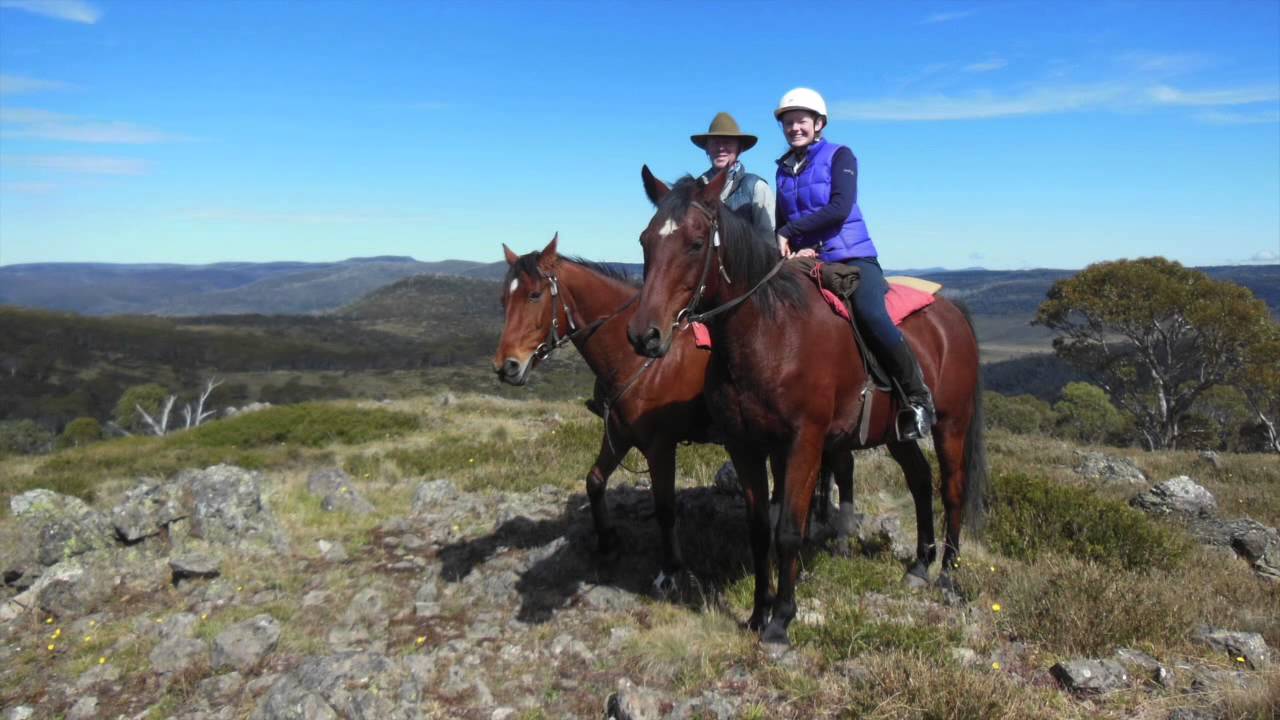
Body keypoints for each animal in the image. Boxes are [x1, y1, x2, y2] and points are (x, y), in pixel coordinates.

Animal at [627, 168, 988, 645]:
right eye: (646, 240)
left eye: (696, 242)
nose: (644, 335)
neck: (769, 333)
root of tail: (954, 312)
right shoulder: (745, 446)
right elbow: (760, 529)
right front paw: (757, 613)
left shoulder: (804, 444)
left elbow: (788, 532)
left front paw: (781, 619)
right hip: (896, 432)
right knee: (920, 480)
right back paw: (919, 565)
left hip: (952, 424)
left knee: (952, 489)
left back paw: (947, 575)